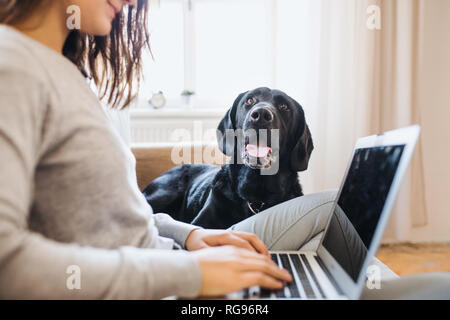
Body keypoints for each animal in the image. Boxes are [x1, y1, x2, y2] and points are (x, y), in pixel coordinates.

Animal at [142, 86, 312, 229]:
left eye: (284, 107)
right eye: (249, 100)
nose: (261, 115)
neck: (256, 197)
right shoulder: (201, 223)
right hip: (165, 194)